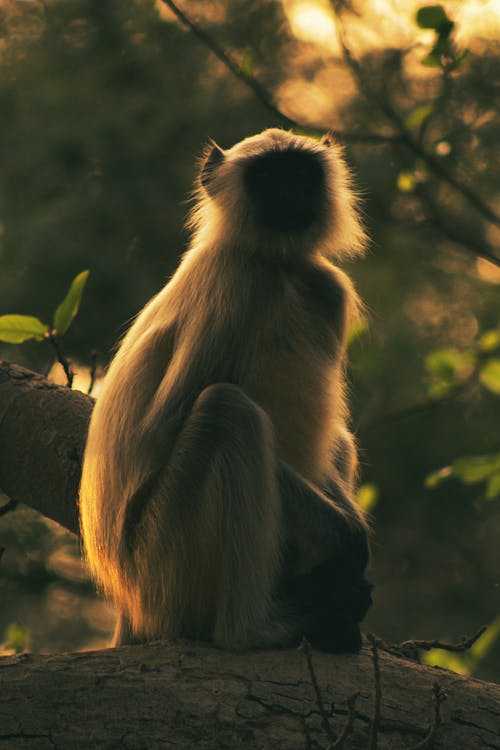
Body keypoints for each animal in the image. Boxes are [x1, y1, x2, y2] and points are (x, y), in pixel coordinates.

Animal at [79, 128, 372, 652]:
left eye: (301, 174)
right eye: (269, 177)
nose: (290, 192)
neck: (278, 267)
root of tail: (130, 606)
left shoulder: (327, 290)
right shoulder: (236, 284)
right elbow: (166, 427)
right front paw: (344, 535)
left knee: (334, 439)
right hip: (162, 565)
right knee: (226, 410)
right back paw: (252, 628)